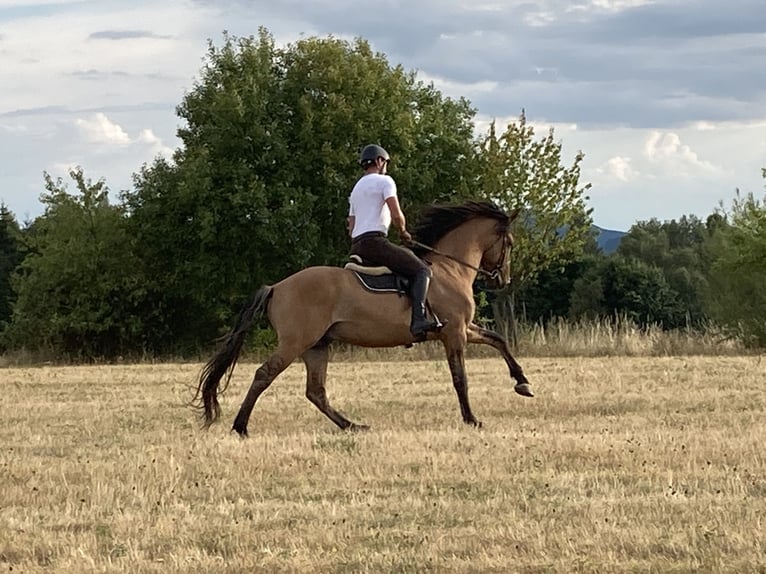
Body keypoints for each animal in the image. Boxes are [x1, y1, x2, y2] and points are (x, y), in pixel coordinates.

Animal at [195, 202, 536, 436]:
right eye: (509, 244)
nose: (502, 280)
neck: (451, 269)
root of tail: (277, 287)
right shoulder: (454, 333)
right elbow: (460, 378)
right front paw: (471, 419)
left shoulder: (463, 329)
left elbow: (498, 340)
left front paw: (523, 383)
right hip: (296, 343)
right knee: (264, 375)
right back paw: (241, 426)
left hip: (317, 346)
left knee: (315, 391)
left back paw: (351, 425)